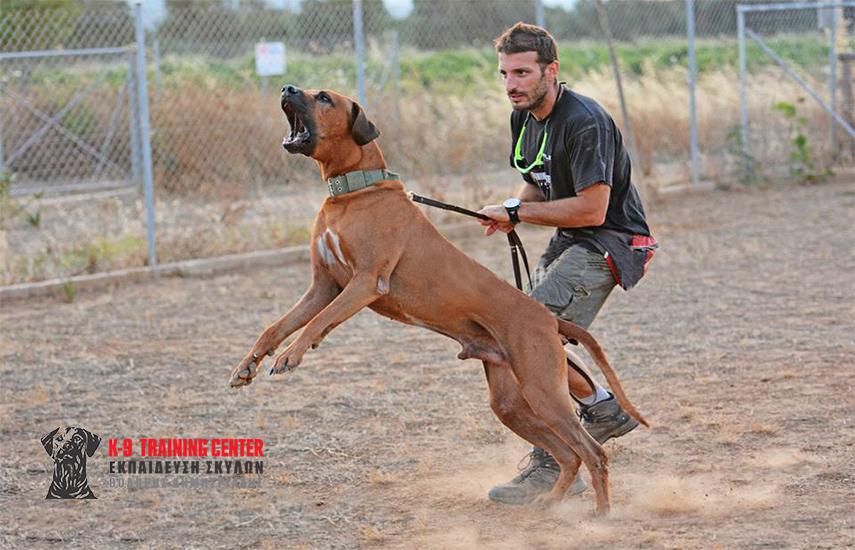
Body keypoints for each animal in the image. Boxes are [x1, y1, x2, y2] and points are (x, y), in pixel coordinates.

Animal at [229, 86, 648, 516]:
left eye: (325, 97)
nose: (288, 88)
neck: (354, 192)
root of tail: (549, 319)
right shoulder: (322, 287)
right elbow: (276, 327)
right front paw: (248, 365)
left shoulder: (364, 283)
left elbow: (317, 322)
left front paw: (291, 355)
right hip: (512, 403)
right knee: (569, 455)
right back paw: (548, 501)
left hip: (543, 390)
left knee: (593, 453)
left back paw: (600, 514)